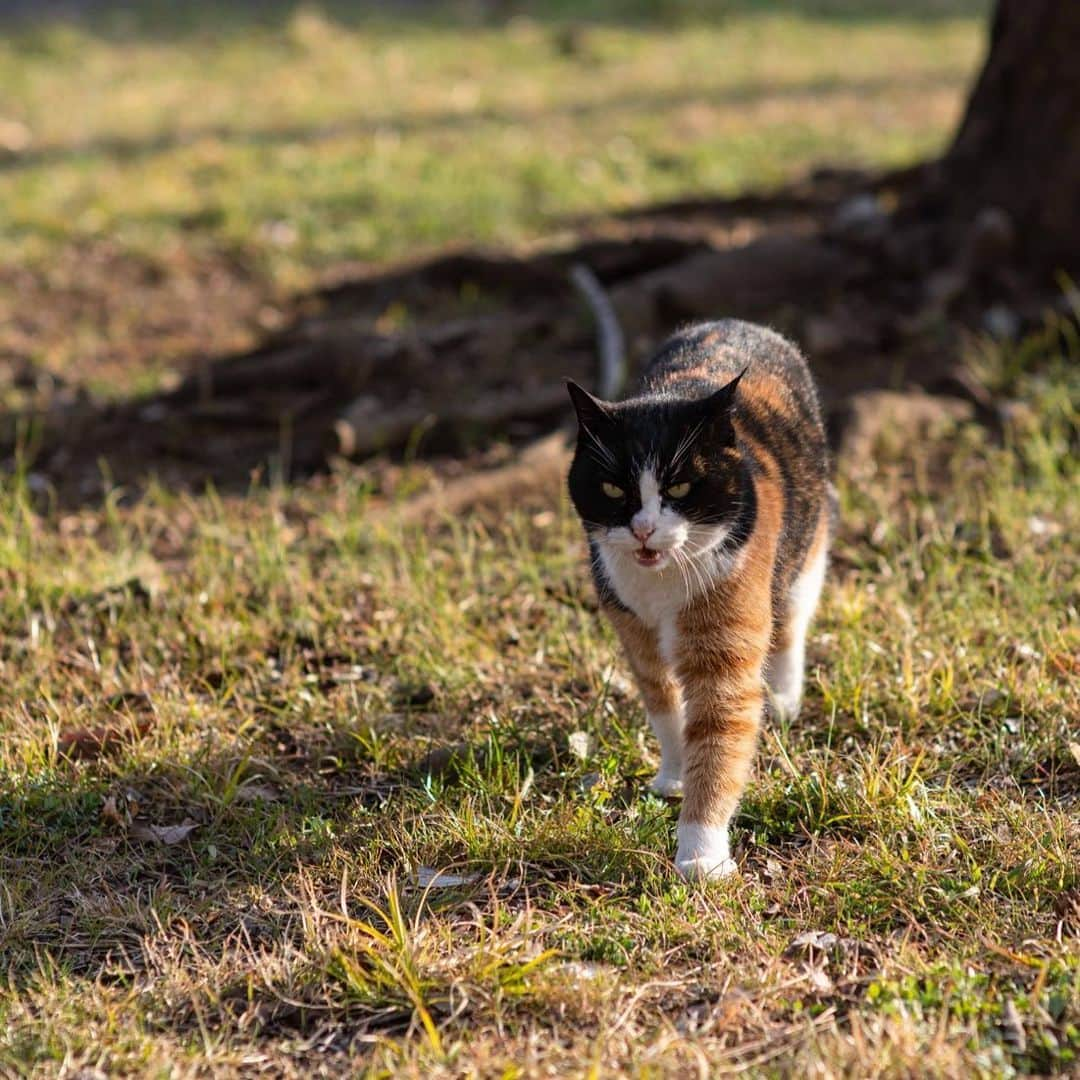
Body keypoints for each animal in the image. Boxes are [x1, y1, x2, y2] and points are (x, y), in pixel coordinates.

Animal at [570, 315, 829, 881]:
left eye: (681, 488)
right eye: (614, 489)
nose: (644, 529)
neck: (664, 583)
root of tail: (737, 321)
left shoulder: (724, 649)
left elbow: (717, 734)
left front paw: (701, 855)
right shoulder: (635, 633)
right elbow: (664, 706)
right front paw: (673, 776)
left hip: (809, 549)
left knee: (792, 622)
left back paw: (784, 700)